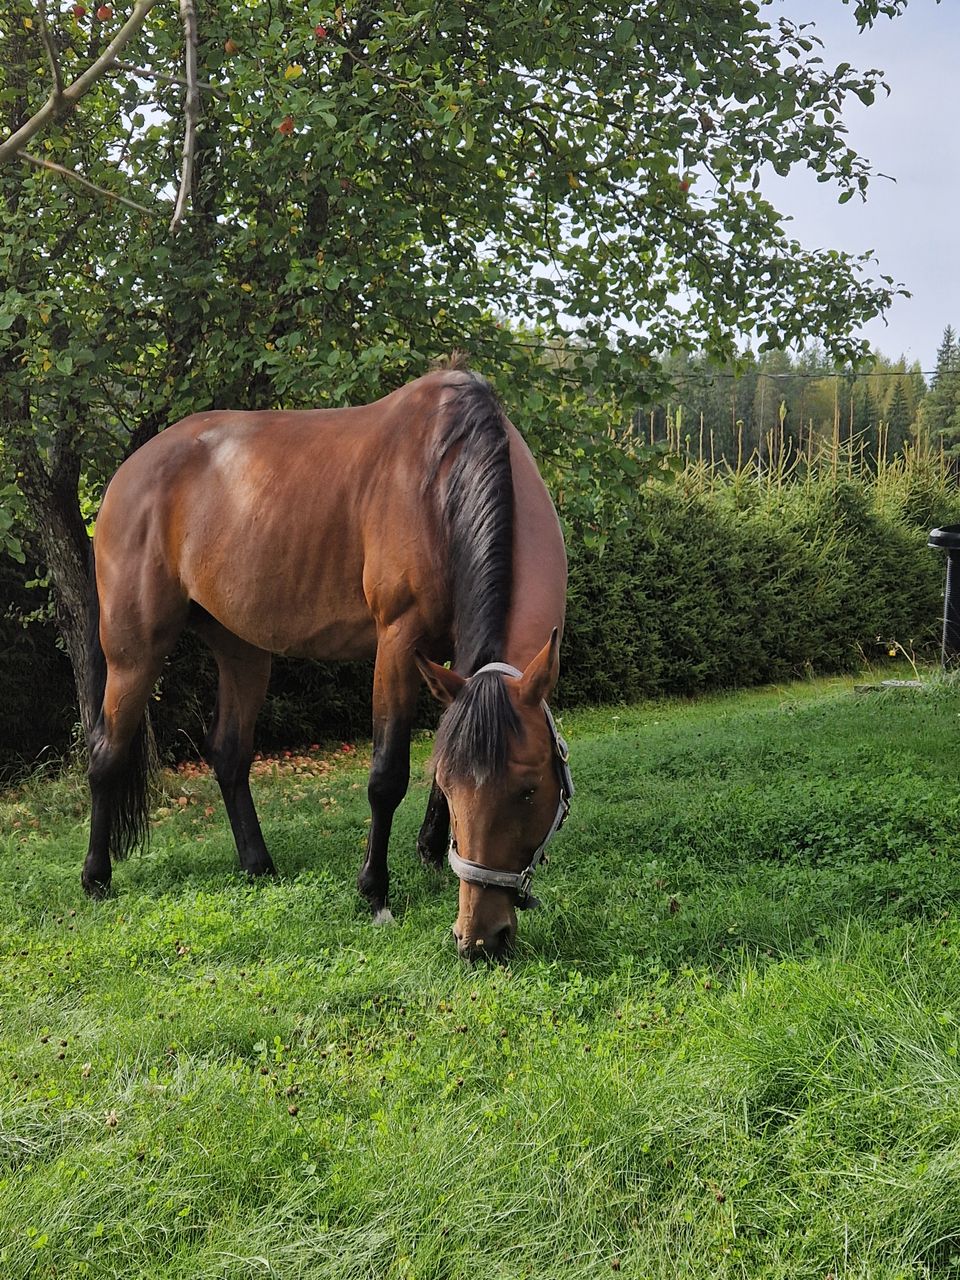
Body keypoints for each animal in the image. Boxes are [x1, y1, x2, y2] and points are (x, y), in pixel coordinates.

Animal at [84, 366, 570, 957]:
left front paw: (431, 851)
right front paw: (375, 890)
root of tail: (127, 474)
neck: (443, 479)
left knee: (229, 754)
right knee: (107, 753)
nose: (480, 939)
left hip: (242, 649)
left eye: (528, 789)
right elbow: (388, 774)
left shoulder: (452, 665)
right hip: (134, 651)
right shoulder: (398, 640)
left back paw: (258, 865)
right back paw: (96, 877)